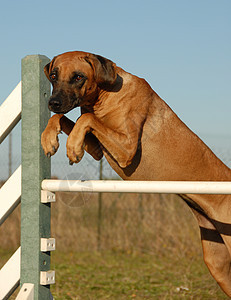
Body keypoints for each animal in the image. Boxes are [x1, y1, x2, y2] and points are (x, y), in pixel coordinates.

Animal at [41, 50, 231, 296]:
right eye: (54, 75)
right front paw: (49, 138)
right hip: (217, 261)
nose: (53, 102)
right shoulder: (96, 149)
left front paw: (72, 147)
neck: (105, 96)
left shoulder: (127, 148)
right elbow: (66, 118)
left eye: (78, 77)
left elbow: (86, 119)